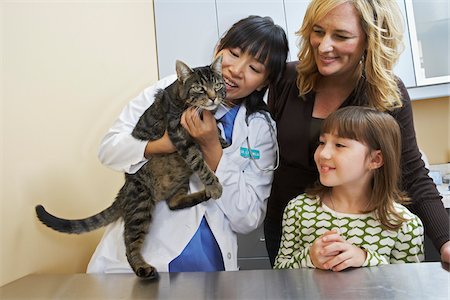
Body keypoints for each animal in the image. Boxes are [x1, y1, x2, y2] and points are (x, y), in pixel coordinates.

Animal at [34, 56, 229, 278]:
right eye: (199, 88)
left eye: (218, 85)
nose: (213, 98)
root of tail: (125, 188)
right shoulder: (179, 133)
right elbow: (198, 161)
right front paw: (214, 185)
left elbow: (213, 137)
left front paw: (222, 141)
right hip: (140, 205)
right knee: (130, 243)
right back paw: (142, 267)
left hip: (179, 180)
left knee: (173, 203)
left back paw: (202, 194)